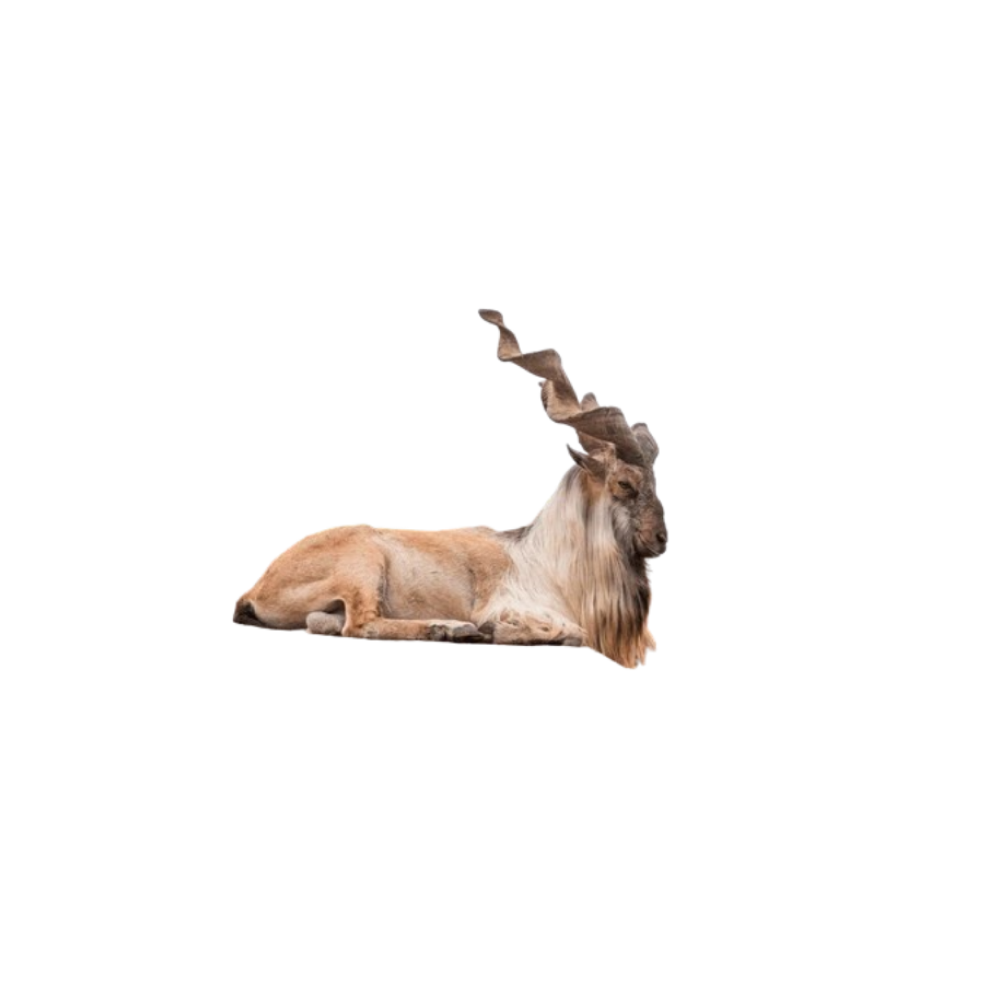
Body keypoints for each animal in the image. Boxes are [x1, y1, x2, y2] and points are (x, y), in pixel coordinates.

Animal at [233, 309, 667, 667]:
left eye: (655, 482)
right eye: (624, 483)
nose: (661, 539)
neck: (547, 560)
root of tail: (256, 588)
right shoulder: (515, 605)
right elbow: (571, 633)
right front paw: (493, 631)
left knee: (323, 622)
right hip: (362, 564)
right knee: (360, 624)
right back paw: (451, 628)